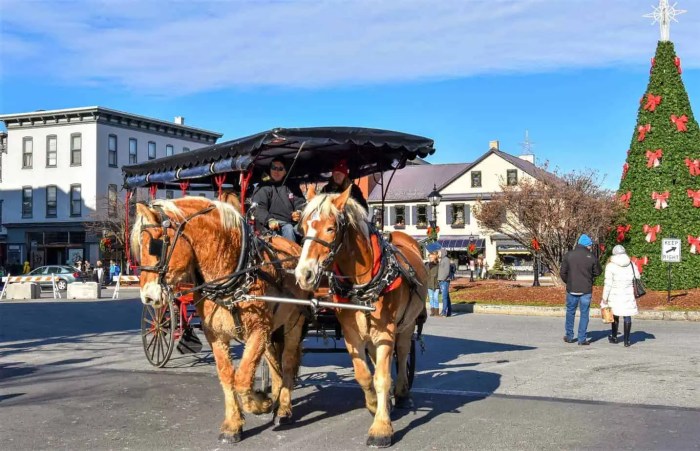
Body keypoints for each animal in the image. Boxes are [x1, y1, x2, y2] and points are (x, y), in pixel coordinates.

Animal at [131, 199, 306, 444]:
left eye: (155, 246)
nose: (147, 297)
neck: (234, 272)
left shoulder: (258, 329)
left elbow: (242, 378)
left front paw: (260, 403)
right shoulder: (216, 334)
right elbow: (227, 375)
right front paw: (233, 425)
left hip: (293, 323)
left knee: (288, 362)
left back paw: (283, 409)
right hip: (274, 329)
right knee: (274, 363)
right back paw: (277, 399)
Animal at [294, 188, 430, 448]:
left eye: (331, 228)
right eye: (303, 227)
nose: (304, 274)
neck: (361, 284)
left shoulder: (386, 331)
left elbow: (382, 377)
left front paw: (381, 428)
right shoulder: (351, 333)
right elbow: (364, 374)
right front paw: (375, 404)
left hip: (407, 323)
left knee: (403, 352)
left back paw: (402, 392)